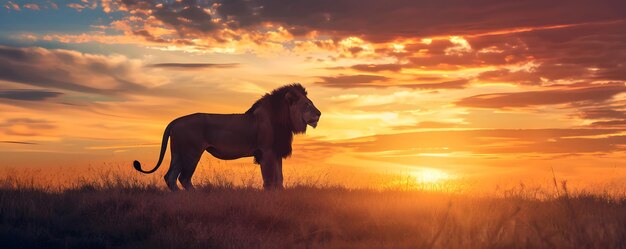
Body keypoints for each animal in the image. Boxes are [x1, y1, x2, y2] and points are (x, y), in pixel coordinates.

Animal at [131, 83, 316, 191]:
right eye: (307, 105)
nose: (319, 114)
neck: (283, 120)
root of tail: (175, 120)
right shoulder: (267, 152)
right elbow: (270, 179)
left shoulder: (276, 152)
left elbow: (279, 179)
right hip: (192, 153)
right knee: (183, 178)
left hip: (178, 153)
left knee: (170, 177)